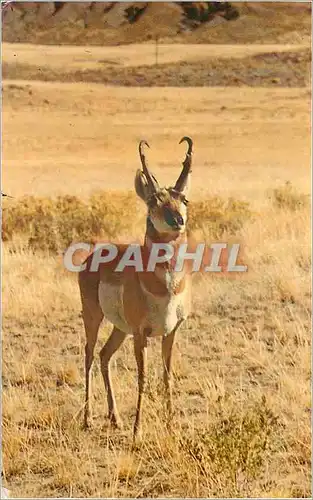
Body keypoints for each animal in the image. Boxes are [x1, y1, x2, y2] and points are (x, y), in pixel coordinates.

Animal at [78, 137, 193, 438]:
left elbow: (167, 376)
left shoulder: (171, 332)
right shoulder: (141, 335)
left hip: (120, 329)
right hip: (94, 318)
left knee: (105, 356)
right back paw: (88, 419)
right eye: (153, 200)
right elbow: (142, 378)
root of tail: (95, 254)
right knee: (89, 355)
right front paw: (138, 430)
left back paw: (115, 418)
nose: (178, 221)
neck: (165, 287)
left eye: (184, 199)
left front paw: (171, 425)